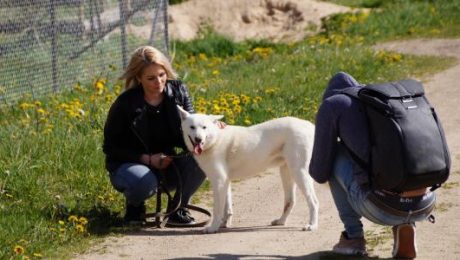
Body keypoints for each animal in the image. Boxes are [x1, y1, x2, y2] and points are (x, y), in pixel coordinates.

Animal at [178, 105, 318, 234]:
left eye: (204, 127)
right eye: (192, 127)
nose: (198, 139)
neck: (215, 139)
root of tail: (311, 126)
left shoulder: (219, 182)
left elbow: (217, 209)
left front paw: (213, 228)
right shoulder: (225, 182)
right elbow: (227, 208)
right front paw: (224, 224)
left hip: (299, 172)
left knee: (314, 202)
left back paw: (312, 225)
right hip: (286, 172)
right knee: (290, 202)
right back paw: (281, 221)